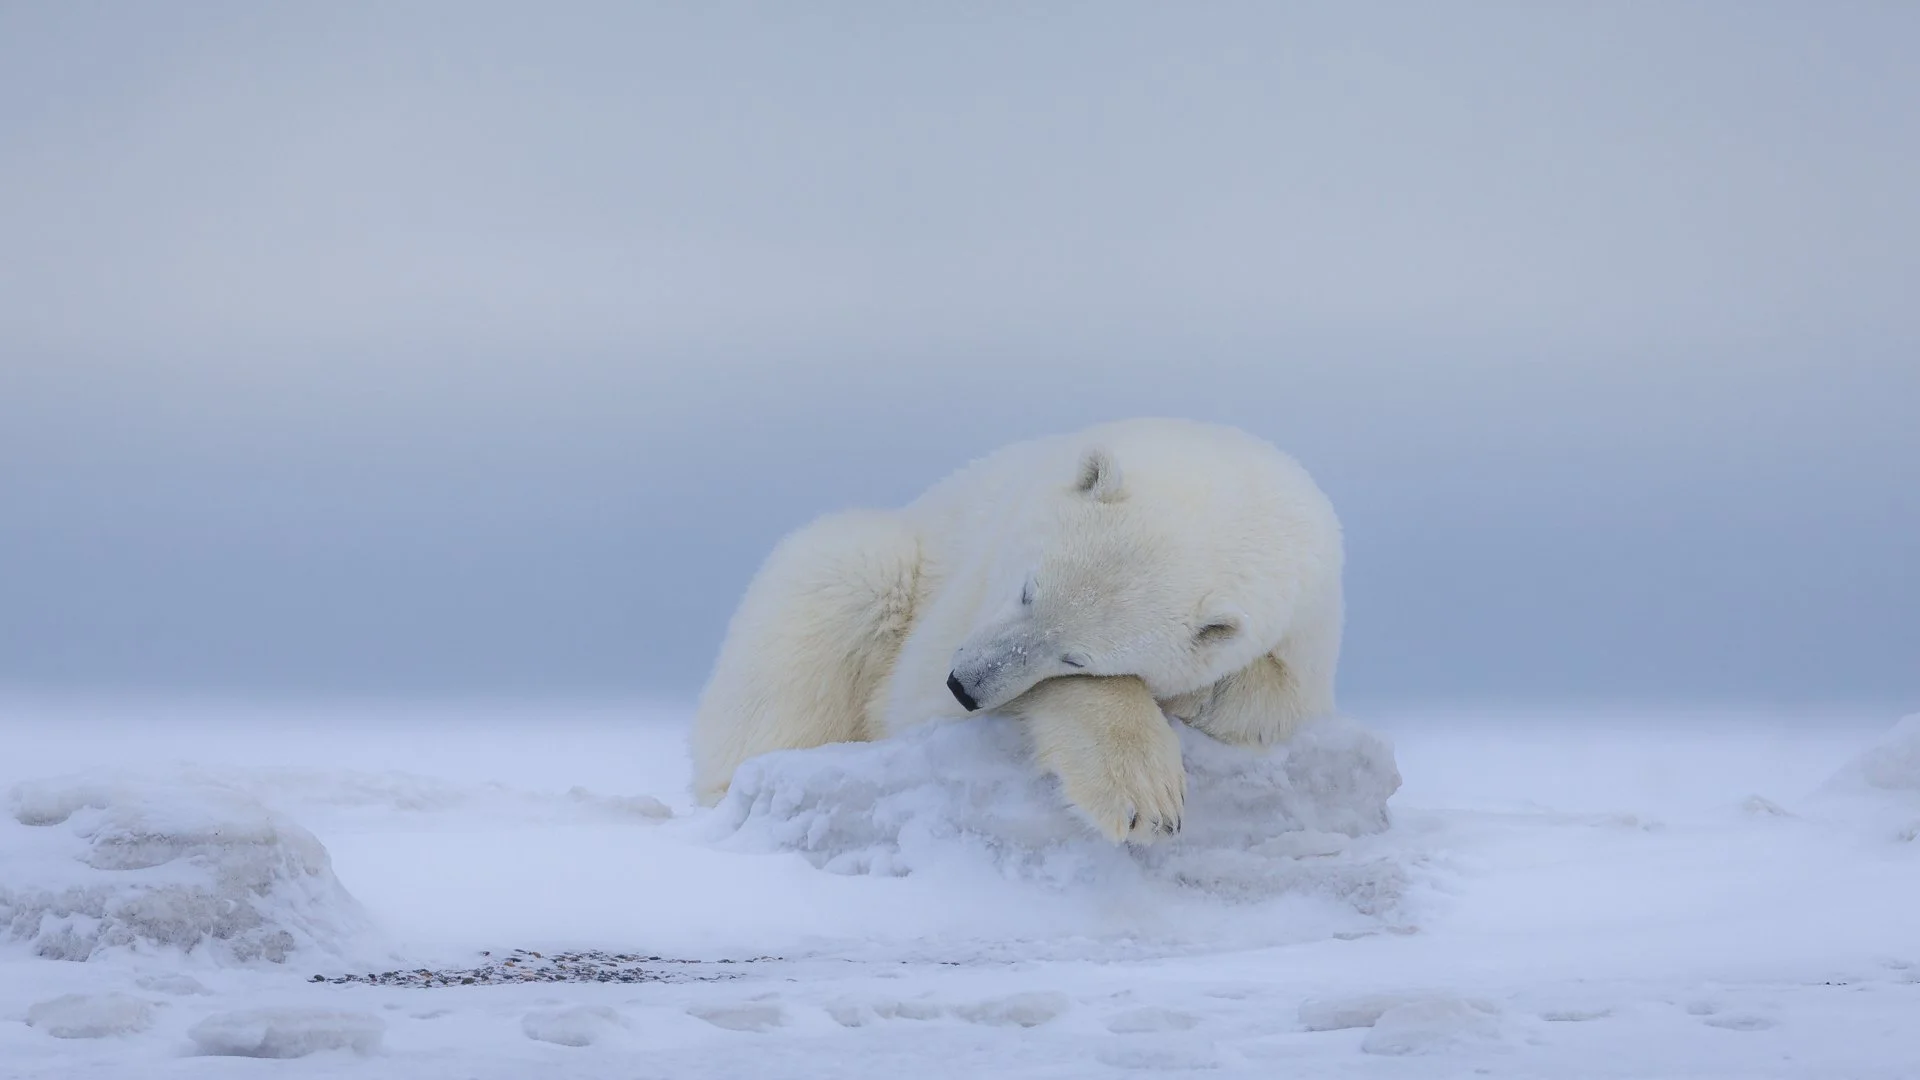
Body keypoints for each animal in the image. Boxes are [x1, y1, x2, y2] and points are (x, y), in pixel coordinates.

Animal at [688, 417, 1345, 844]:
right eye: (1028, 588)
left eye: (1078, 656)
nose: (966, 684)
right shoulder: (978, 575)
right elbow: (910, 699)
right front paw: (1144, 797)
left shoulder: (1307, 629)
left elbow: (1267, 702)